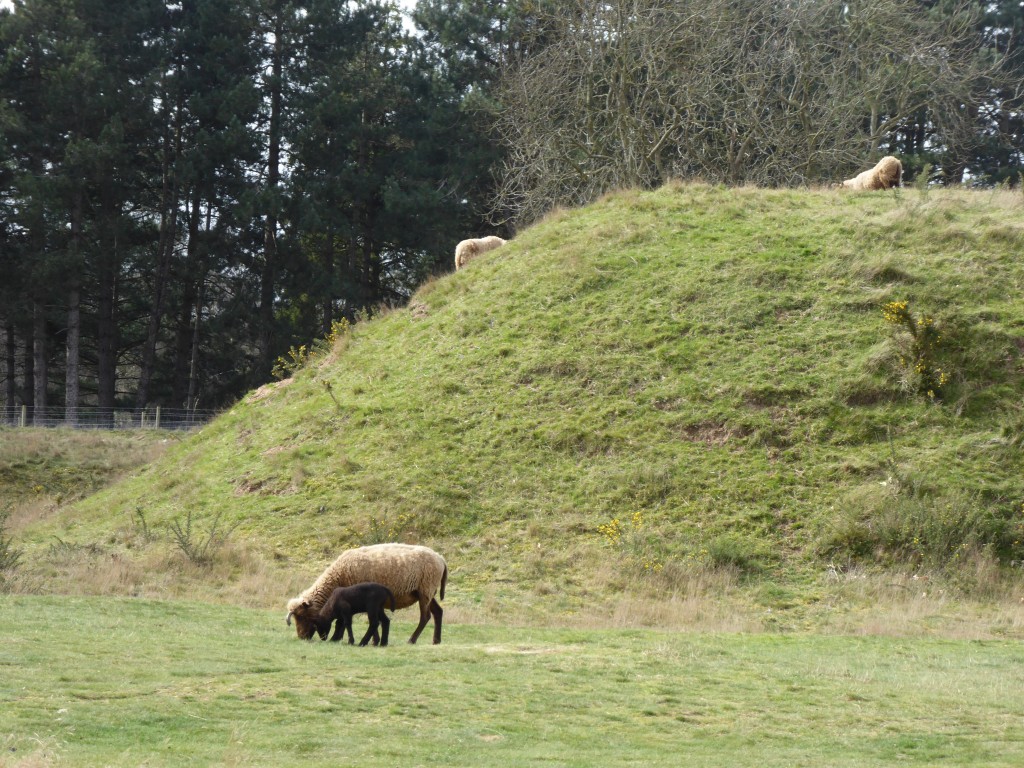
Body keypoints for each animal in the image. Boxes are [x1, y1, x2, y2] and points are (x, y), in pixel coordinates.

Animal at [288, 544, 448, 647]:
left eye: (301, 616)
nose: (301, 637)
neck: (338, 576)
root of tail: (441, 558)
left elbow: (366, 620)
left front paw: (373, 641)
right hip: (427, 592)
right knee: (438, 612)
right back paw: (436, 640)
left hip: (425, 590)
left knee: (425, 616)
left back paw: (412, 640)